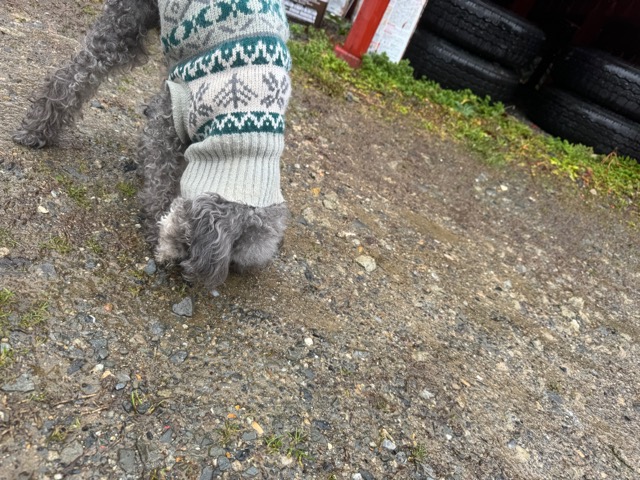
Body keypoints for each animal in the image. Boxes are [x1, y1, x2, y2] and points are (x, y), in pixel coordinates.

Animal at [13, 0, 292, 288]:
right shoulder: (170, 114)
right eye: (188, 241)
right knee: (80, 70)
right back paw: (37, 127)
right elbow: (160, 175)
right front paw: (154, 219)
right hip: (125, 24)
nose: (176, 263)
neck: (244, 122)